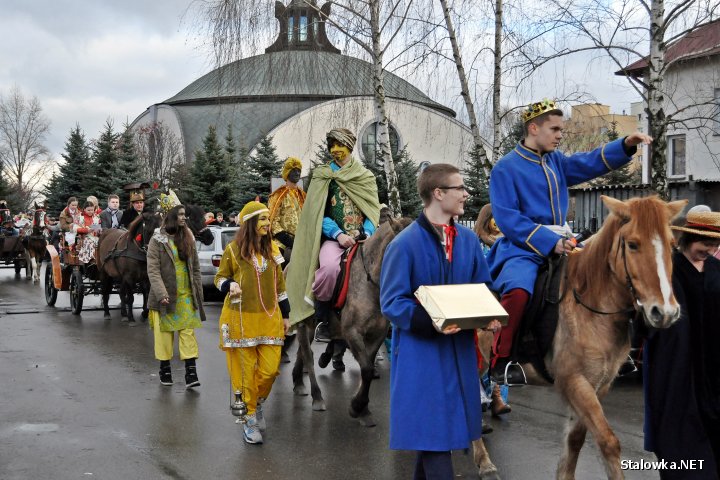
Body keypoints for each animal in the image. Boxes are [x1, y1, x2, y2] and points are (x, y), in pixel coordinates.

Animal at [472, 195, 688, 480]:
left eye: (672, 246)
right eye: (632, 244)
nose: (665, 312)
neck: (590, 303)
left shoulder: (599, 384)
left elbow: (575, 439)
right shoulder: (574, 381)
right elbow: (608, 441)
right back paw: (484, 462)